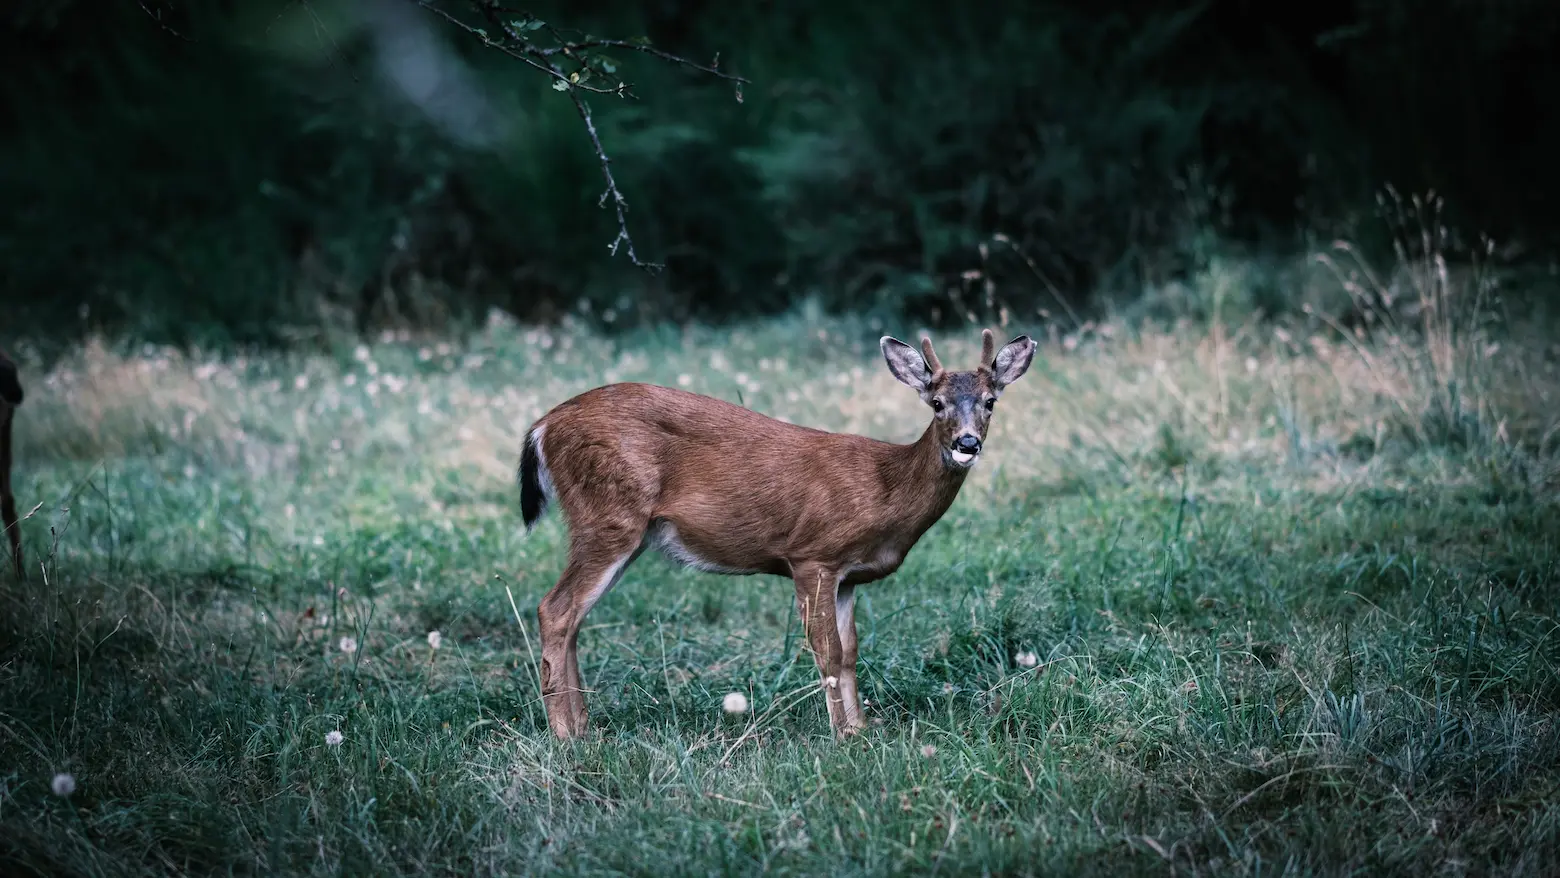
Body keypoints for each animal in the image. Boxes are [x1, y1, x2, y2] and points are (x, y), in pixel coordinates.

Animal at [521, 325, 1035, 739]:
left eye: (990, 402)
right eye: (937, 403)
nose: (967, 443)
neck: (885, 489)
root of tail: (542, 426)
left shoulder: (849, 577)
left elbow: (850, 652)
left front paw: (862, 728)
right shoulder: (813, 555)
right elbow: (827, 652)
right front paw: (842, 735)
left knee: (573, 617)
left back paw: (583, 725)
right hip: (608, 515)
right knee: (556, 609)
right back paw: (565, 734)